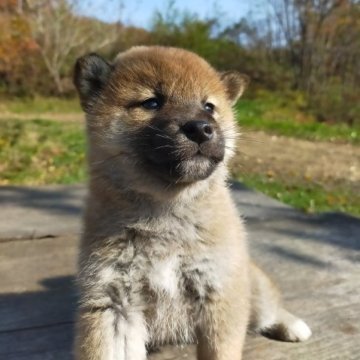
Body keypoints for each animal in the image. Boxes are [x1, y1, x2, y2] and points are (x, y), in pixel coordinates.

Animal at [74, 46, 312, 358]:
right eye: (152, 102)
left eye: (209, 107)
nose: (200, 128)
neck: (165, 212)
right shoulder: (115, 301)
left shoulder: (219, 293)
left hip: (251, 290)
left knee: (268, 308)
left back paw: (293, 325)